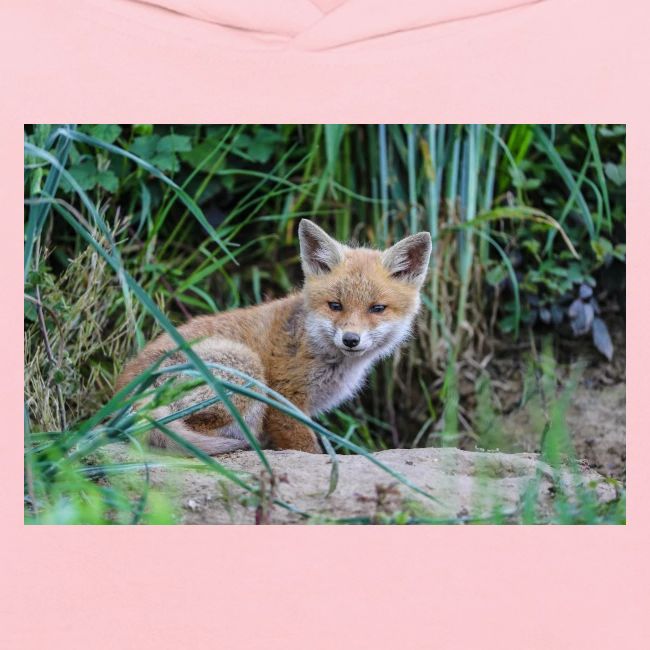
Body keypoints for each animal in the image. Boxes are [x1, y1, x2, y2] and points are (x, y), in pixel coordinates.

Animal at [116, 219, 432, 455]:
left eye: (377, 308)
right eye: (335, 305)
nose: (351, 339)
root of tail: (124, 394)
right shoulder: (284, 400)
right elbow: (307, 448)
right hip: (246, 369)